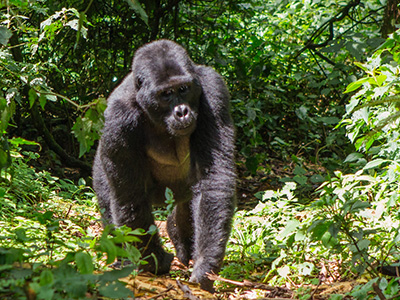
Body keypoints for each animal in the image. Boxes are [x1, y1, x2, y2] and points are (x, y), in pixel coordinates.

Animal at [92, 38, 236, 292]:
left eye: (183, 89)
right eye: (166, 94)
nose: (182, 112)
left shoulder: (213, 89)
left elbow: (213, 179)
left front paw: (205, 265)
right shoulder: (118, 118)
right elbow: (131, 197)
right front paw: (154, 262)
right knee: (110, 201)